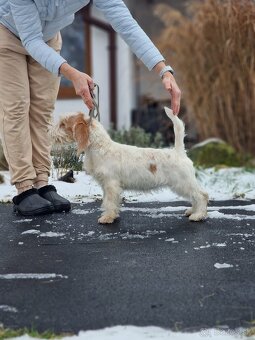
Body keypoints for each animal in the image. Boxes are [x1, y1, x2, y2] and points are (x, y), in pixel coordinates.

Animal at [52, 107, 208, 224]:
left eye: (63, 124)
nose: (51, 133)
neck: (101, 148)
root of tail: (179, 151)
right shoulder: (106, 185)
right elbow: (110, 201)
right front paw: (112, 215)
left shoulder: (111, 184)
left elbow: (109, 202)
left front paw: (107, 218)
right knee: (196, 196)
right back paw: (192, 211)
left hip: (183, 183)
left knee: (201, 195)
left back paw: (198, 215)